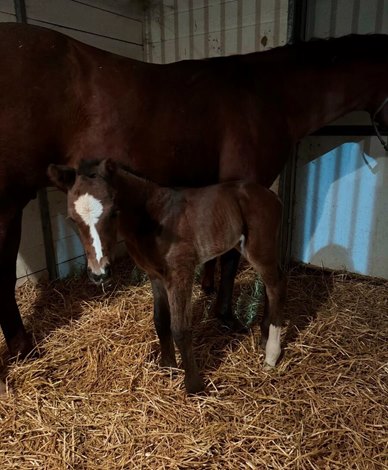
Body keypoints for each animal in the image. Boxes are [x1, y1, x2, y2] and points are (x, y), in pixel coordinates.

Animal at [0, 23, 388, 360]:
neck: (268, 95)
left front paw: (209, 288)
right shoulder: (244, 182)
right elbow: (230, 256)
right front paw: (227, 316)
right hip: (8, 206)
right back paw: (23, 348)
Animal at [47, 160, 284, 394]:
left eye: (114, 212)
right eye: (72, 219)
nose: (100, 273)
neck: (152, 219)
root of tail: (271, 195)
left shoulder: (180, 274)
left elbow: (180, 329)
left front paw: (194, 386)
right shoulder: (156, 276)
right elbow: (160, 321)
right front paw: (168, 366)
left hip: (260, 249)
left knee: (275, 286)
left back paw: (271, 356)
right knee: (271, 285)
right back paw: (264, 337)